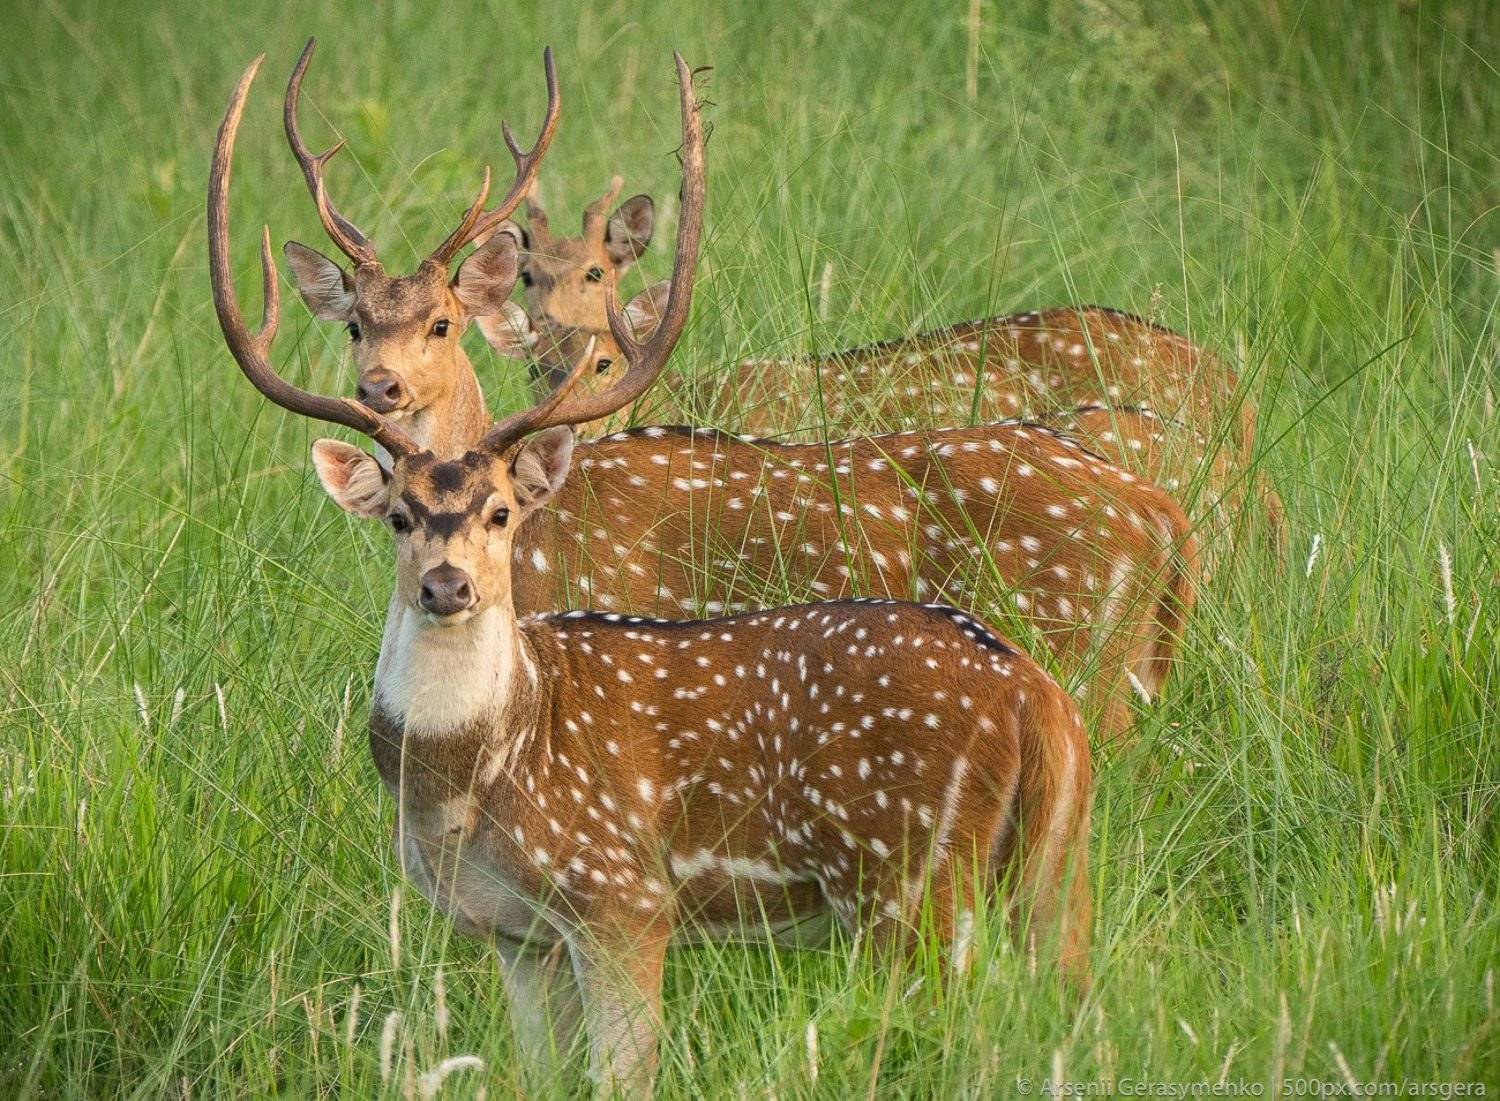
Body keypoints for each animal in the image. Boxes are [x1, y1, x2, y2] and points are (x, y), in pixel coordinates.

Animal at [211, 50, 1092, 1096]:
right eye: (398, 515)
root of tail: (1041, 702)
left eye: (503, 511)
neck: (470, 783)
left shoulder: (623, 897)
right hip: (1054, 873)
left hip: (909, 874)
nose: (448, 586)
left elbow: (623, 1074)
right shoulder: (518, 934)